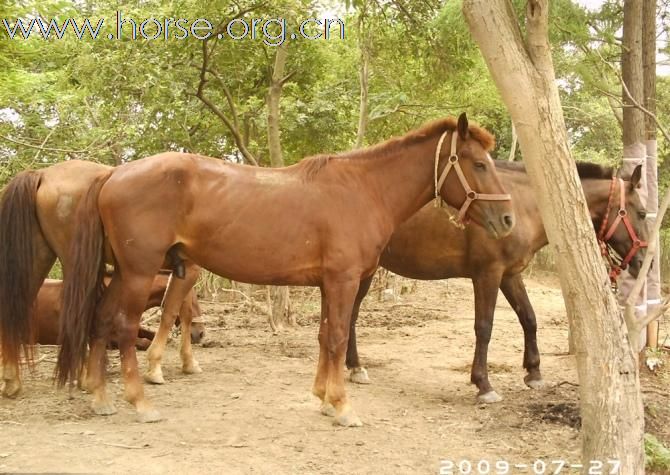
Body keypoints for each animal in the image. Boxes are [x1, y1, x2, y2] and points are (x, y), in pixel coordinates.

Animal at [0, 162, 205, 400]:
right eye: (197, 299)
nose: (201, 333)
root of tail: (42, 174)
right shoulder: (189, 270)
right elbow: (176, 313)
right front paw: (176, 365)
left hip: (40, 256)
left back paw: (12, 380)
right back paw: (84, 377)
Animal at [57, 115, 516, 428]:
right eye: (478, 164)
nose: (508, 220)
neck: (363, 191)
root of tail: (113, 173)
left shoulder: (330, 284)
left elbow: (325, 336)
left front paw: (323, 398)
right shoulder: (344, 280)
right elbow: (337, 337)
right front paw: (343, 406)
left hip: (123, 273)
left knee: (101, 320)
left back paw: (100, 397)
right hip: (138, 273)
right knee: (122, 326)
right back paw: (139, 402)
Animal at [344, 162, 648, 404]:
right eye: (643, 213)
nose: (645, 261)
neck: (523, 205)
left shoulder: (510, 275)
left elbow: (529, 318)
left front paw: (534, 373)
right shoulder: (487, 274)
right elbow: (484, 327)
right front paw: (483, 384)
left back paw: (354, 367)